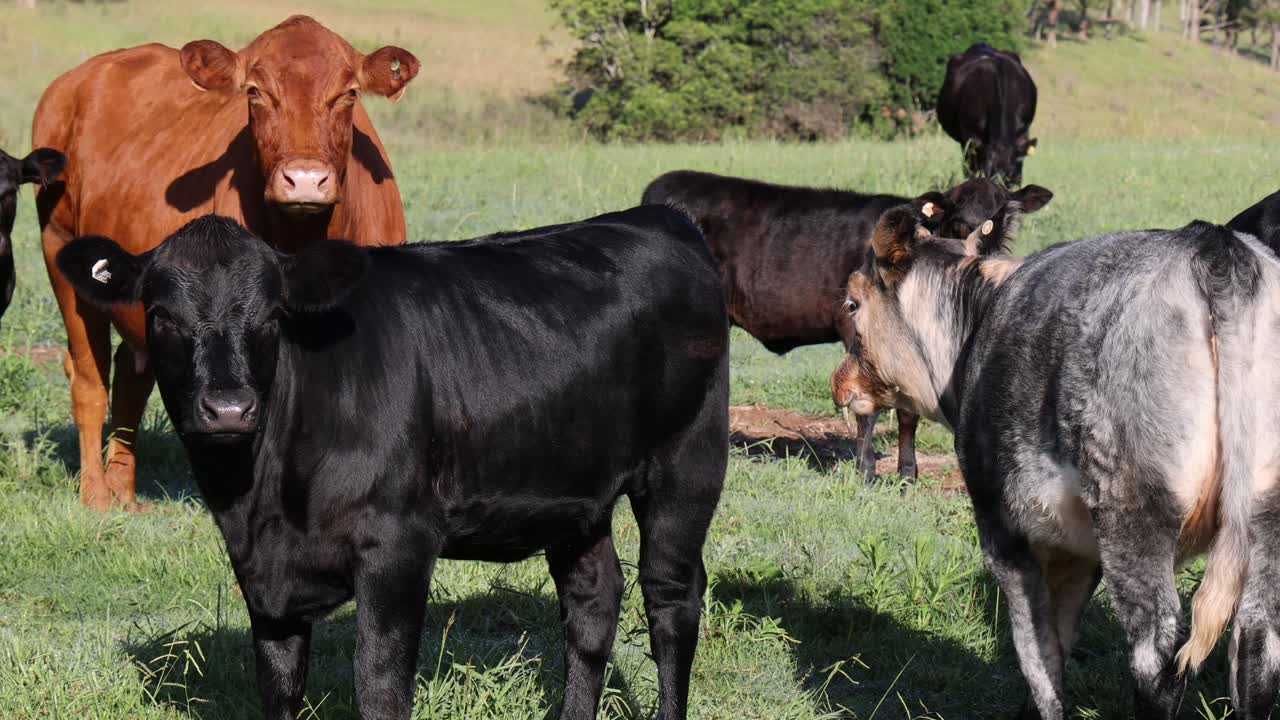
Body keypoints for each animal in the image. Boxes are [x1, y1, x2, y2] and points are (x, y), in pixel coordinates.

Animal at [33, 15, 418, 511]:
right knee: (88, 378)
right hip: (59, 250)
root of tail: (74, 80)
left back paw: (124, 491)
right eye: (255, 91)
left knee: (130, 376)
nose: (305, 179)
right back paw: (97, 494)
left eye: (349, 92)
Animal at [55, 207, 729, 720]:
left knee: (671, 599)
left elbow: (379, 686)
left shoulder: (399, 544)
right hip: (575, 495)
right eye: (162, 316)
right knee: (592, 604)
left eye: (271, 316)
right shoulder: (264, 577)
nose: (227, 407)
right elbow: (278, 685)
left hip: (688, 465)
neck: (259, 497)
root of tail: (658, 217)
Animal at [641, 169, 1052, 480]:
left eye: (999, 218)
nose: (977, 241)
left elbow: (907, 411)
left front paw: (907, 473)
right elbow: (867, 409)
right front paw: (866, 471)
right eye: (956, 213)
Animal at [832, 205, 1280, 718]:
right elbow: (1059, 637)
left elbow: (1038, 651)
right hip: (1264, 511)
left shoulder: (1005, 531)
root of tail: (1214, 246)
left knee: (1157, 649)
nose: (840, 384)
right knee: (1257, 638)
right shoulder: (1076, 548)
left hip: (1133, 511)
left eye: (852, 303)